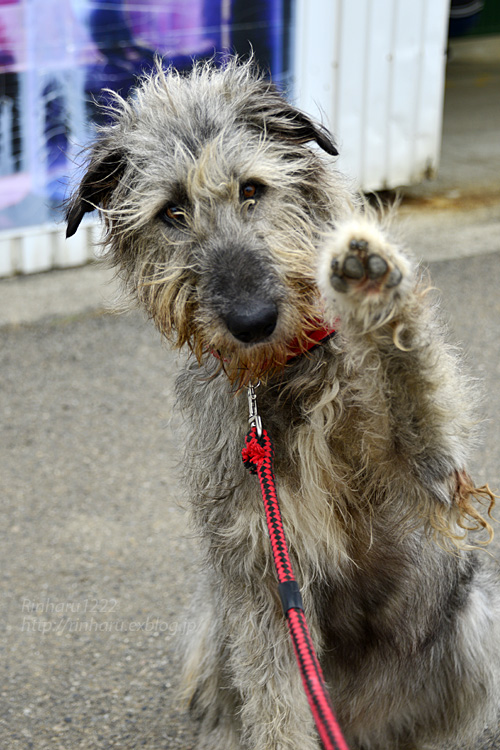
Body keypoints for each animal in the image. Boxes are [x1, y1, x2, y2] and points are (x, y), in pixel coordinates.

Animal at [66, 60, 500, 750]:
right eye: (172, 212)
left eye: (252, 189)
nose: (252, 321)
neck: (286, 374)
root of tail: (356, 719)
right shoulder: (262, 575)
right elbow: (274, 702)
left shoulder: (430, 470)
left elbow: (416, 385)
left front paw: (375, 289)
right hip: (212, 633)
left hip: (472, 625)